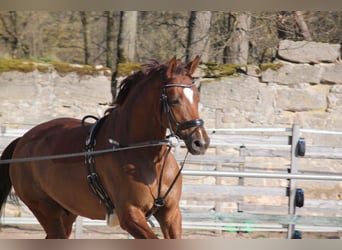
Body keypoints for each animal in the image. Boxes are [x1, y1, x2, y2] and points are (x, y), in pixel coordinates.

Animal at [0, 56, 210, 238]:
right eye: (174, 99)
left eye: (197, 97)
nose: (200, 142)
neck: (148, 159)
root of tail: (23, 140)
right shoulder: (130, 216)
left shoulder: (171, 214)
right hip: (45, 209)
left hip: (67, 212)